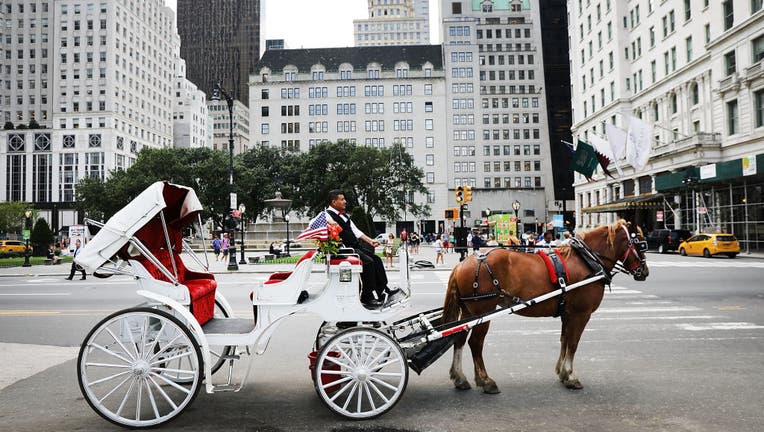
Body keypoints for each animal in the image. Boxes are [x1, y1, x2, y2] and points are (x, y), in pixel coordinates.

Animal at [444, 221, 648, 394]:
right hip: (482, 311)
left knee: (459, 339)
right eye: (641, 244)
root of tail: (462, 263)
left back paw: (460, 378)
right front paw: (571, 376)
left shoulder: (567, 313)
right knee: (475, 343)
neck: (588, 261)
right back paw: (486, 381)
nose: (644, 272)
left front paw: (562, 373)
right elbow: (573, 343)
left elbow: (564, 340)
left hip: (468, 312)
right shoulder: (581, 314)